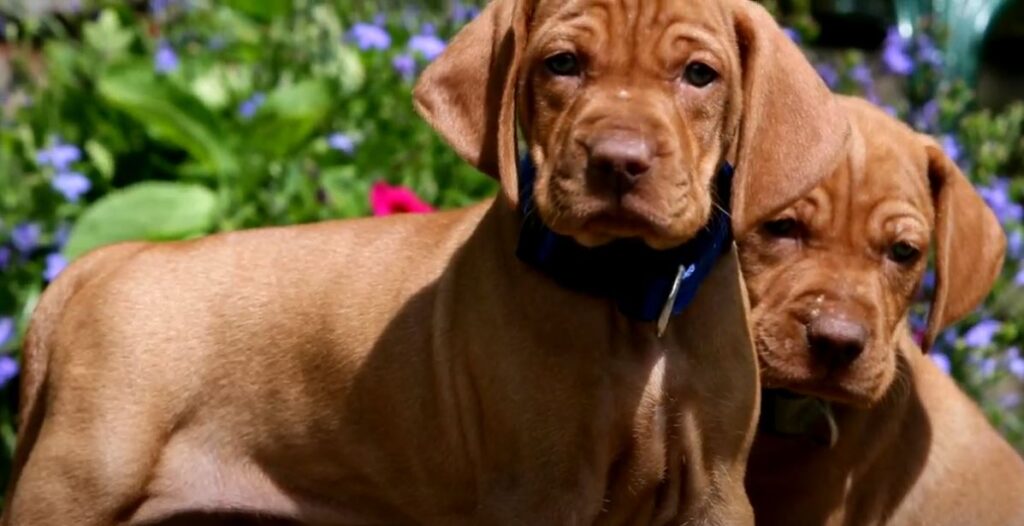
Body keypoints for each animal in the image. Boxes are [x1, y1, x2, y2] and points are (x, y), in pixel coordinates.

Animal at [2, 1, 847, 523]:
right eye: (562, 64)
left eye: (700, 75)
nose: (617, 161)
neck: (628, 296)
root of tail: (105, 260)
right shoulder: (537, 491)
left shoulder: (716, 492)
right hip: (77, 481)